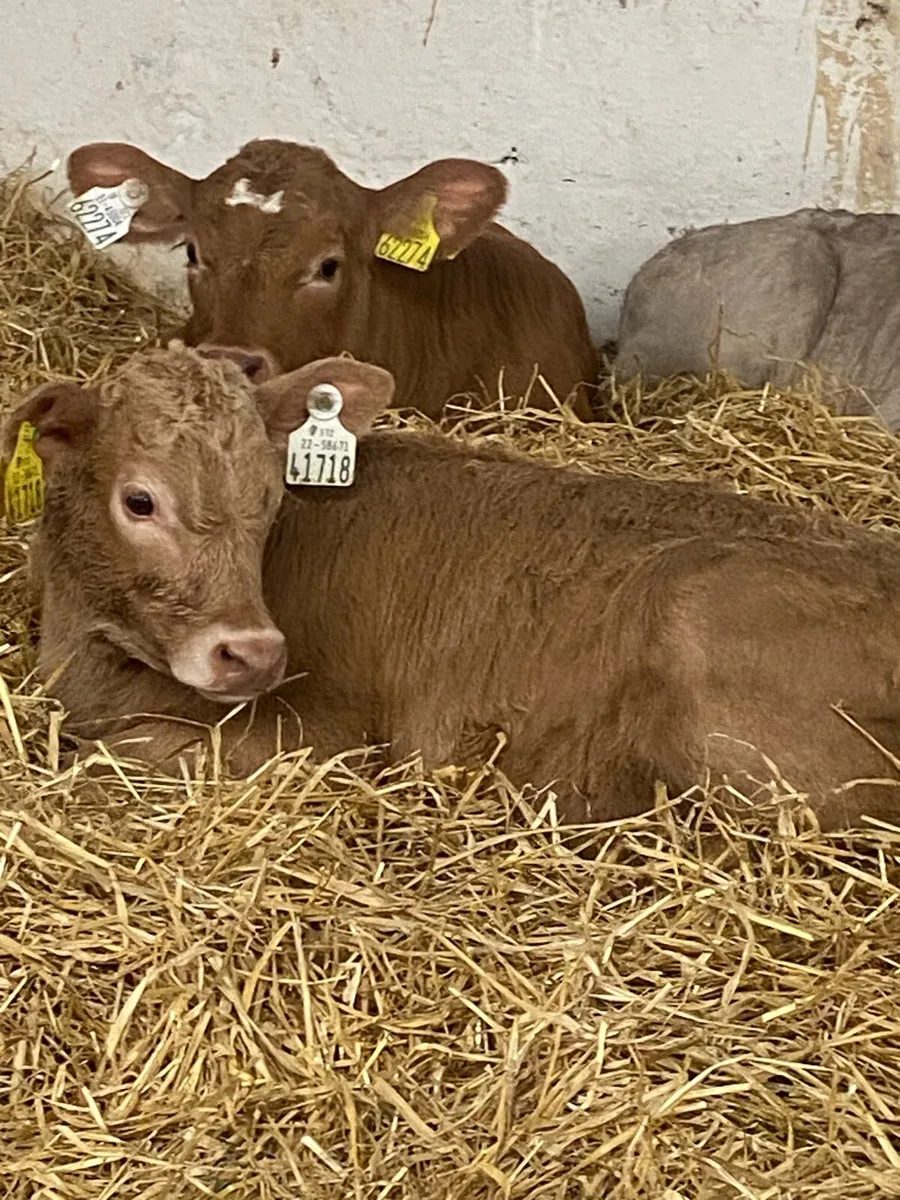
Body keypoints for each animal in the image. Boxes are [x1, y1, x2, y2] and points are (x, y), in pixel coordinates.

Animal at [7, 344, 900, 830]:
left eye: (269, 498)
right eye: (140, 500)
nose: (252, 654)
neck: (85, 663)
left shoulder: (327, 737)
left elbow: (118, 753)